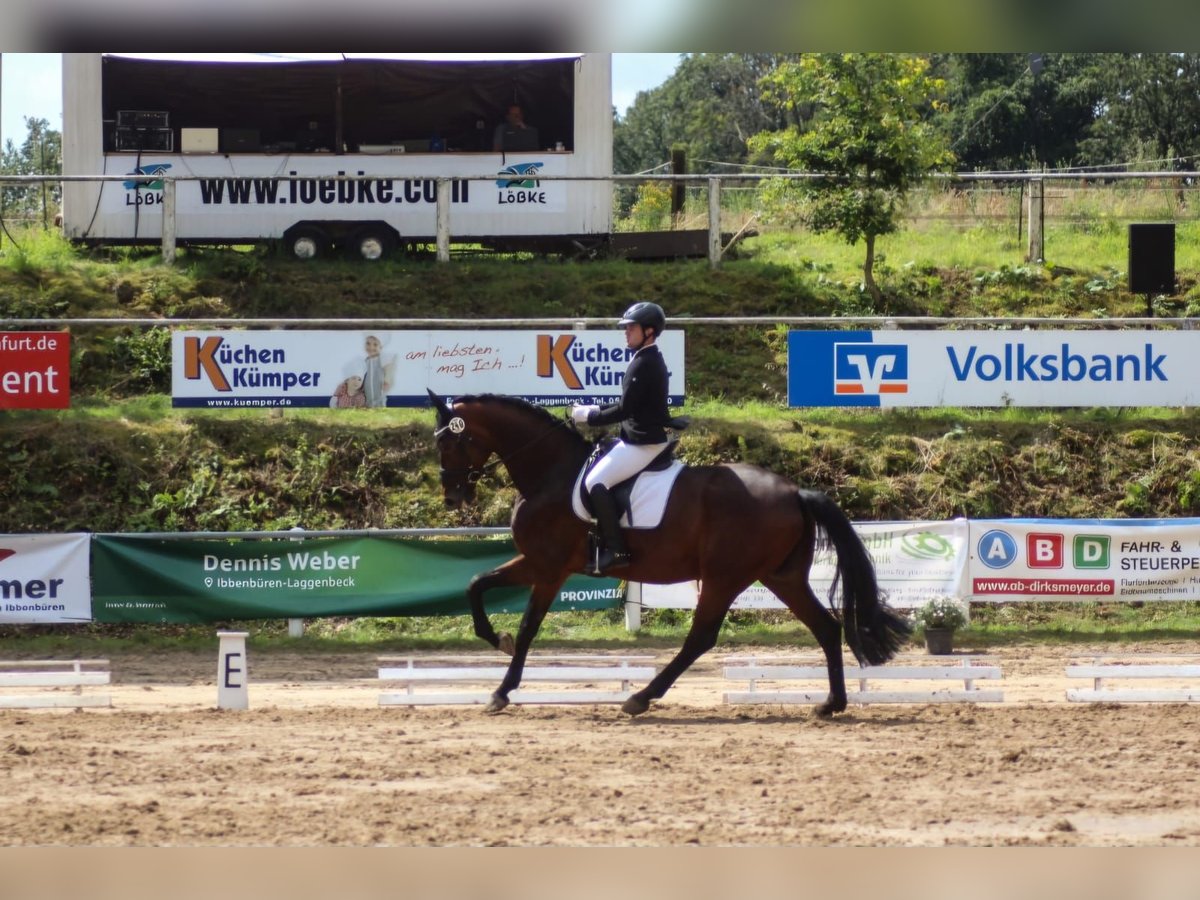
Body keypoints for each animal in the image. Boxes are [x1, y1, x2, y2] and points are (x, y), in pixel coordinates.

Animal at [432, 388, 907, 720]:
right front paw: (497, 643)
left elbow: (527, 626)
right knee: (826, 628)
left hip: (725, 576)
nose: (453, 497)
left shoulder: (548, 568)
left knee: (701, 637)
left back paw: (640, 698)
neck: (550, 474)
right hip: (780, 576)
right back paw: (831, 704)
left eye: (451, 443)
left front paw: (501, 687)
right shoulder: (537, 563)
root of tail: (794, 491)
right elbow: (477, 584)